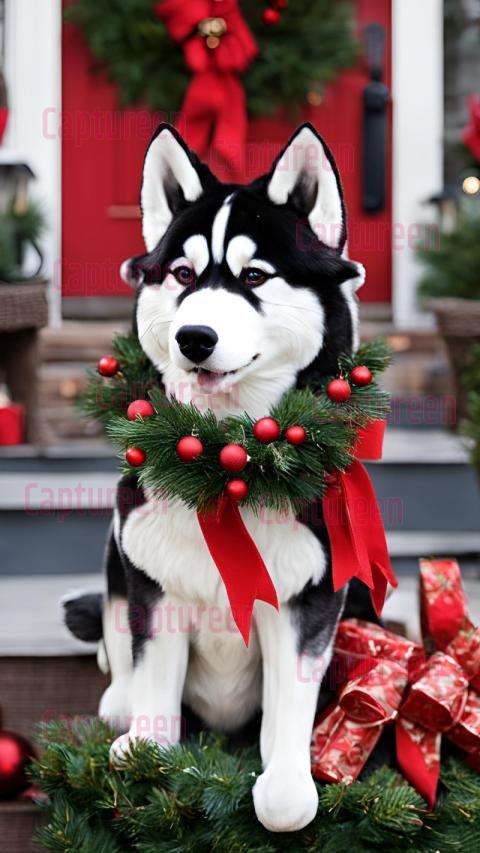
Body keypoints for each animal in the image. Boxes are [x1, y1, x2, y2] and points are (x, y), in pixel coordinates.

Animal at [64, 123, 368, 828]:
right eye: (182, 273)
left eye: (254, 275)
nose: (193, 337)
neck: (225, 463)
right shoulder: (154, 590)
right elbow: (152, 708)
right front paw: (144, 744)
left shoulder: (309, 600)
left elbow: (285, 785)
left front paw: (284, 782)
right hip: (118, 544)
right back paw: (117, 698)